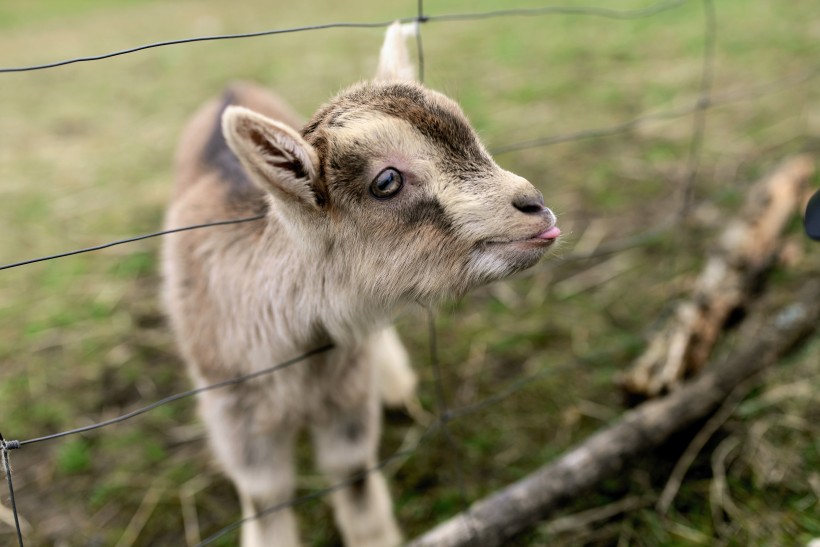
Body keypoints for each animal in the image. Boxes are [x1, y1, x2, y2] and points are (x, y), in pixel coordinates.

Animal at [162, 22, 556, 547]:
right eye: (386, 181)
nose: (535, 207)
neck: (301, 353)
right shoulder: (236, 415)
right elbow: (268, 498)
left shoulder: (347, 393)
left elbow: (354, 479)